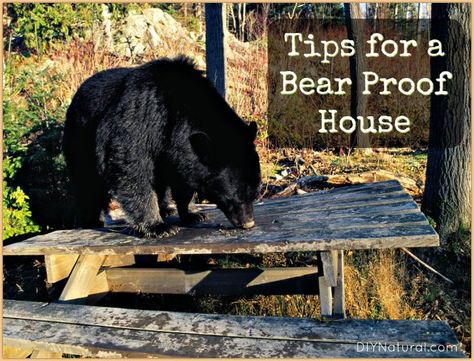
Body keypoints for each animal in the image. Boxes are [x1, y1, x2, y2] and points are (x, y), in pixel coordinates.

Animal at [63, 55, 262, 236]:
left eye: (254, 194)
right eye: (232, 197)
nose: (248, 223)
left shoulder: (179, 147)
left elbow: (184, 175)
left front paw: (193, 214)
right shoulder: (142, 116)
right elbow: (129, 163)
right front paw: (158, 227)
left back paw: (166, 208)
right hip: (80, 137)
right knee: (87, 183)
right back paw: (89, 221)